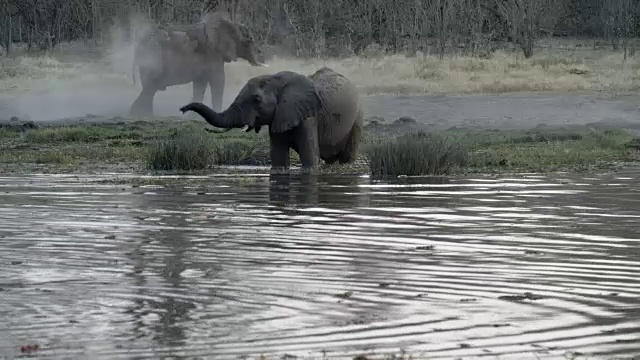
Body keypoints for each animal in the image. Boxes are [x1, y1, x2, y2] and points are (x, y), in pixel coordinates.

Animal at [130, 12, 268, 116]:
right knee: (150, 89)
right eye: (248, 42)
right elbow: (218, 81)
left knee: (149, 90)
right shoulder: (212, 54)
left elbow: (200, 84)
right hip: (152, 63)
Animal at [178, 67, 362, 172]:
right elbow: (278, 158)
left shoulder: (309, 117)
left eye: (256, 99)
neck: (276, 79)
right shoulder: (279, 116)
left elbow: (310, 160)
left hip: (357, 116)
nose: (182, 109)